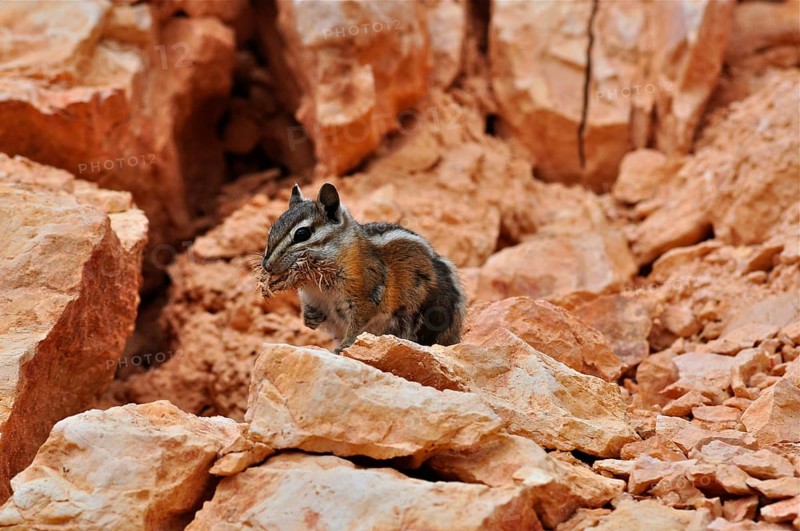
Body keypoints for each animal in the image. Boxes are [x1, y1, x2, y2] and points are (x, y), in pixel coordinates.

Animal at [259, 183, 466, 353]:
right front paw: (309, 318)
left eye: (302, 234)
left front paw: (344, 346)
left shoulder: (365, 297)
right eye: (272, 229)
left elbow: (357, 325)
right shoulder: (312, 297)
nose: (267, 265)